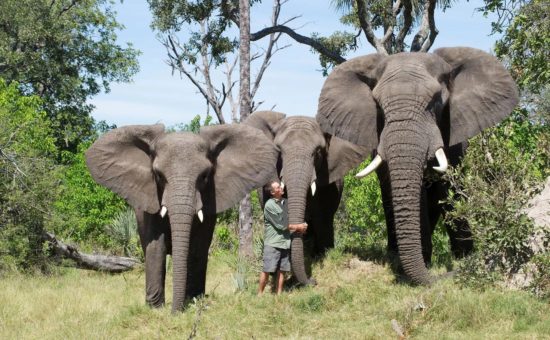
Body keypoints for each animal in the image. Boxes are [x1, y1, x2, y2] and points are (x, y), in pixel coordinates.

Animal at [87, 123, 280, 312]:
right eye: (158, 175)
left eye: (205, 176)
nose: (175, 312)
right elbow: (156, 245)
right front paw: (156, 309)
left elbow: (198, 246)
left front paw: (193, 301)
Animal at [246, 111, 370, 284]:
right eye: (279, 151)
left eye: (317, 152)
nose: (313, 281)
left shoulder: (329, 181)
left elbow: (322, 217)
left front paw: (322, 255)